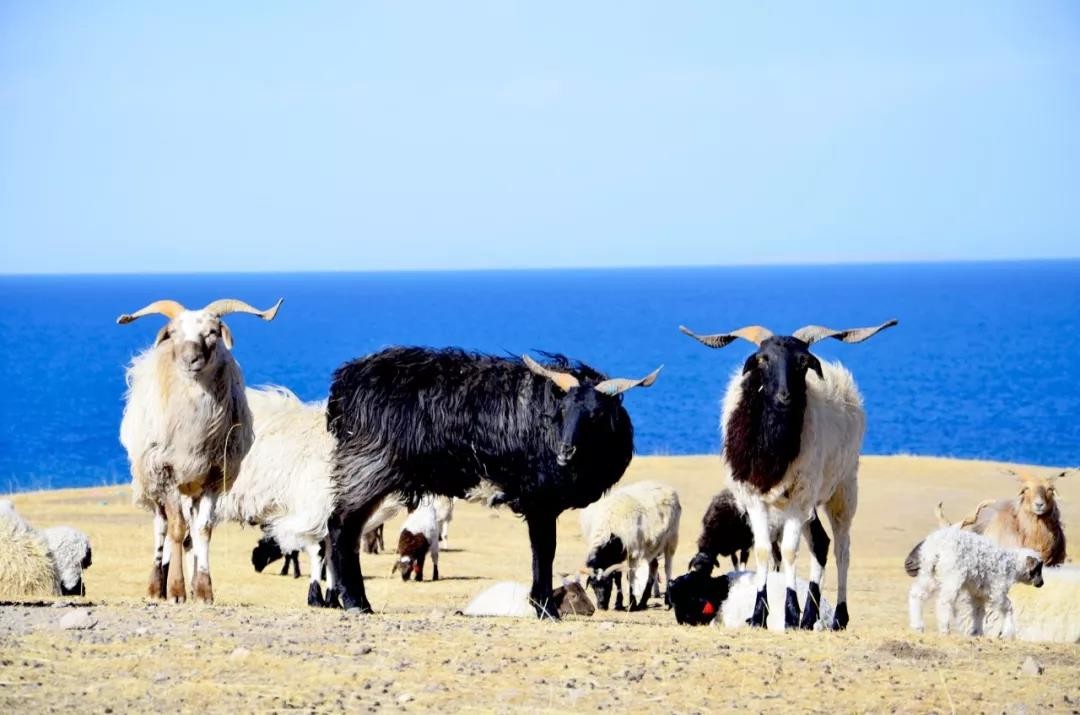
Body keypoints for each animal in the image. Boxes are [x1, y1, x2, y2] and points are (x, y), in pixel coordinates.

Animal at [117, 295, 282, 604]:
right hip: (151, 480)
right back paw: (156, 586)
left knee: (192, 530)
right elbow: (176, 529)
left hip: (191, 486)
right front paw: (176, 590)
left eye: (212, 333)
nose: (190, 359)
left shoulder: (214, 476)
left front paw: (204, 589)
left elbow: (203, 529)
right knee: (162, 526)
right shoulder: (166, 471)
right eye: (173, 333)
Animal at [321, 349, 656, 617]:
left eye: (596, 414)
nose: (565, 452)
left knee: (347, 529)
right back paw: (354, 602)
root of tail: (344, 385)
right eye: (562, 411)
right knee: (341, 526)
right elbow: (544, 550)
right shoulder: (539, 500)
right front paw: (545, 607)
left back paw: (358, 602)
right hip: (368, 466)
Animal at [578, 479, 678, 613]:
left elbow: (630, 576)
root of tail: (667, 488)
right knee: (654, 567)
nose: (601, 606)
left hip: (671, 540)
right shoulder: (616, 555)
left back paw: (667, 601)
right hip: (653, 546)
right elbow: (618, 577)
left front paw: (632, 603)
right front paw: (619, 604)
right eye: (593, 586)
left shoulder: (633, 553)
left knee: (668, 568)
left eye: (608, 584)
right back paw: (643, 602)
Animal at [682, 321, 894, 630]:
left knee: (842, 549)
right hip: (809, 504)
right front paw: (759, 613)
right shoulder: (754, 499)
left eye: (803, 361)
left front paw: (791, 613)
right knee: (821, 543)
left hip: (842, 489)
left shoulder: (799, 497)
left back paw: (838, 616)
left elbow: (791, 551)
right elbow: (763, 552)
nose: (785, 397)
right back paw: (810, 616)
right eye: (763, 359)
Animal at [902, 527, 1045, 639]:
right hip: (952, 576)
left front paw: (977, 632)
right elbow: (1008, 607)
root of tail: (934, 549)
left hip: (929, 574)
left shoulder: (978, 593)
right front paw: (1008, 633)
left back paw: (917, 626)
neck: (1011, 565)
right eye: (1038, 568)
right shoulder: (997, 590)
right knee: (944, 601)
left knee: (916, 595)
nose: (1041, 583)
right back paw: (944, 629)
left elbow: (978, 611)